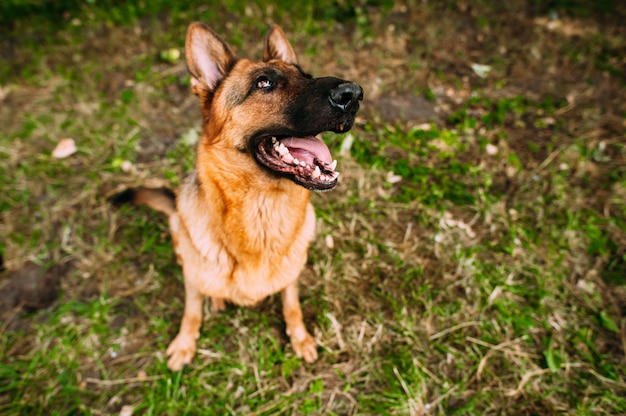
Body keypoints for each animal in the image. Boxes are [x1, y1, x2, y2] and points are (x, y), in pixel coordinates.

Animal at [112, 23, 360, 370]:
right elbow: (191, 310)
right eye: (264, 82)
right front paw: (185, 343)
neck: (262, 207)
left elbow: (291, 304)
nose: (354, 94)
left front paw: (300, 337)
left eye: (306, 75)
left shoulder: (291, 276)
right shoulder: (193, 278)